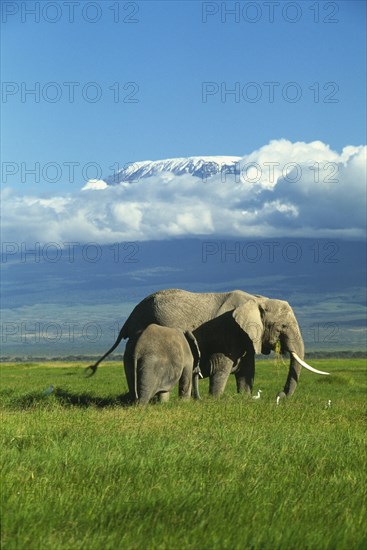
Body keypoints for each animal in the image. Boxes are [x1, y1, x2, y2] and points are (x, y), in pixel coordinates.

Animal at [87, 292, 330, 404]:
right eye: (283, 326)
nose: (279, 395)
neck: (258, 299)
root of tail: (130, 317)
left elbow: (247, 370)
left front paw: (244, 398)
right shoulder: (227, 329)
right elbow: (223, 365)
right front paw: (216, 400)